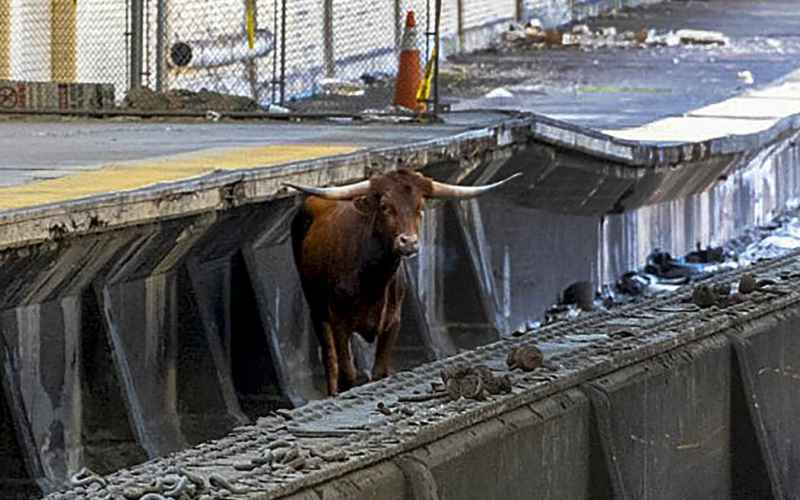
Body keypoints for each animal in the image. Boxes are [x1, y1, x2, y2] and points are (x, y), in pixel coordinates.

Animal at [284, 170, 520, 396]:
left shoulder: (392, 322)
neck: (371, 280)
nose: (409, 242)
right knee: (330, 359)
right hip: (317, 309)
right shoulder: (340, 322)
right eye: (385, 207)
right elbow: (347, 373)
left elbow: (379, 372)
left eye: (420, 207)